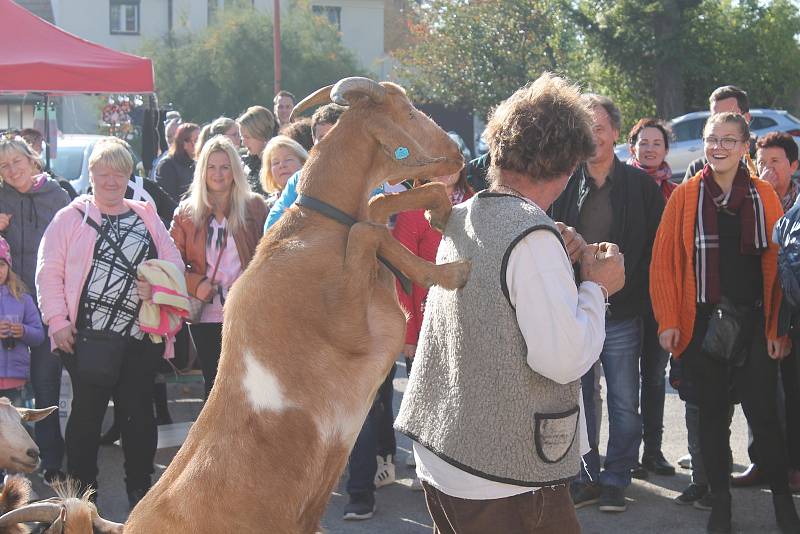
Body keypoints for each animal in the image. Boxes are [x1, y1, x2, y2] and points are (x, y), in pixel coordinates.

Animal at [0, 77, 466, 532]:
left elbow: (377, 210)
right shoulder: (357, 335)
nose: (458, 153)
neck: (313, 228)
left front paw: (440, 215)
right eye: (409, 113)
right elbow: (368, 229)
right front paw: (454, 271)